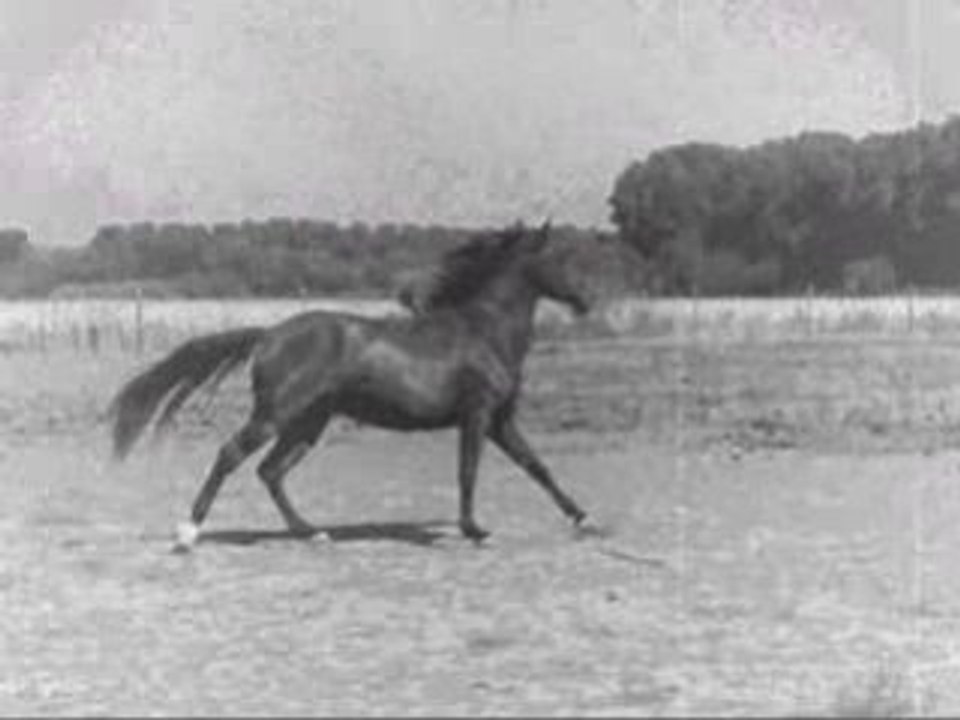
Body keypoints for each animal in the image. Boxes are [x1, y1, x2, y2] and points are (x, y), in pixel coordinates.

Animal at [108, 221, 594, 551]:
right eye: (557, 260)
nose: (586, 301)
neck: (483, 330)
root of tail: (269, 334)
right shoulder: (476, 415)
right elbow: (468, 471)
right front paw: (474, 530)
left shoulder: (500, 419)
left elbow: (536, 466)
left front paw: (582, 518)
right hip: (276, 415)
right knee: (232, 455)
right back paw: (188, 533)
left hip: (308, 422)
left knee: (271, 471)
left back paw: (312, 532)